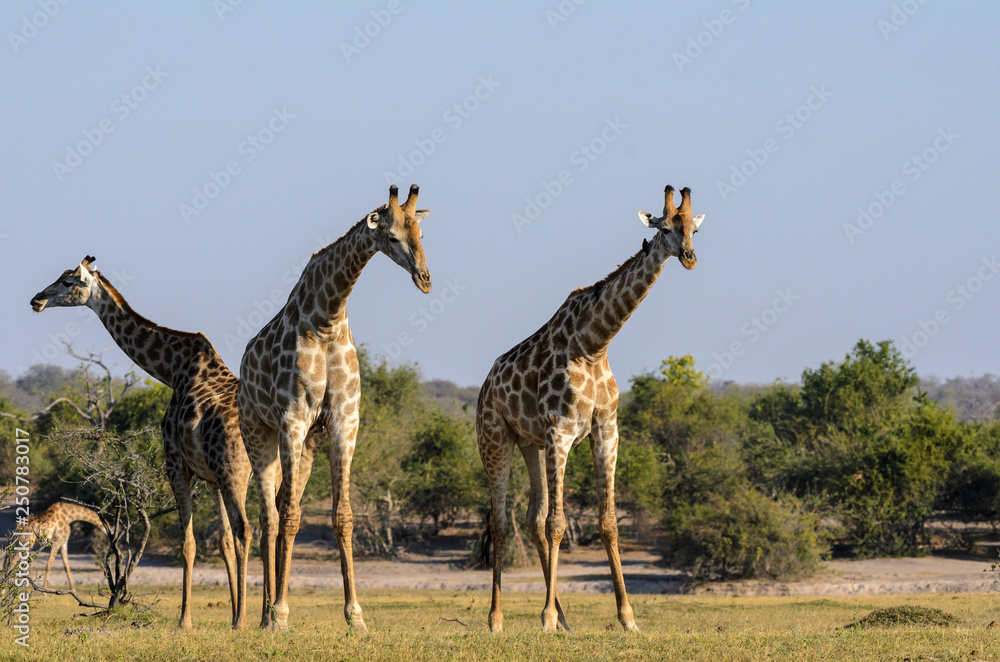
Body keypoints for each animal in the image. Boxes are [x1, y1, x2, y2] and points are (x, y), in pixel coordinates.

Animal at [30, 258, 252, 628]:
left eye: (67, 282)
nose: (36, 300)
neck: (172, 370)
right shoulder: (211, 477)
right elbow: (222, 541)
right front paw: (234, 611)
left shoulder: (177, 464)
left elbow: (189, 543)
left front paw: (185, 620)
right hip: (261, 471)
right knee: (275, 525)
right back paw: (268, 617)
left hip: (235, 471)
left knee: (248, 530)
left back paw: (250, 620)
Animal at [239, 183, 434, 632]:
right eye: (392, 237)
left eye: (421, 234)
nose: (425, 280)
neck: (326, 319)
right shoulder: (292, 419)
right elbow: (291, 517)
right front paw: (282, 615)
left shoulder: (345, 420)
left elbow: (342, 516)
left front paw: (355, 616)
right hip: (258, 435)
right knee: (269, 517)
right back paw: (266, 614)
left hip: (309, 444)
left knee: (280, 507)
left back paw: (270, 608)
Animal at [476, 185, 704, 632]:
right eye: (664, 227)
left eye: (694, 229)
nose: (689, 257)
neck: (594, 343)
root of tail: (484, 387)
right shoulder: (560, 431)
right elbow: (558, 523)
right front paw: (545, 617)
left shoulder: (606, 431)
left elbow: (608, 523)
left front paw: (627, 617)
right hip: (496, 439)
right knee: (501, 520)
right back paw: (497, 619)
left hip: (530, 444)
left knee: (530, 518)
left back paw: (563, 618)